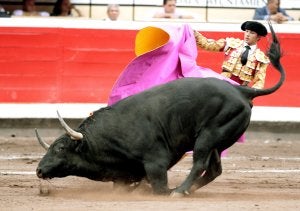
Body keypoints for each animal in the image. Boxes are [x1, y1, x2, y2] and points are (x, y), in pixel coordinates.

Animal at [35, 22, 286, 195]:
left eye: (60, 149)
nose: (38, 170)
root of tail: (243, 92)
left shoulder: (156, 162)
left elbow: (157, 185)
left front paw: (161, 191)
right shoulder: (125, 174)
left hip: (208, 137)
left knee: (200, 164)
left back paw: (179, 191)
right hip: (218, 140)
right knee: (214, 169)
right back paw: (189, 190)